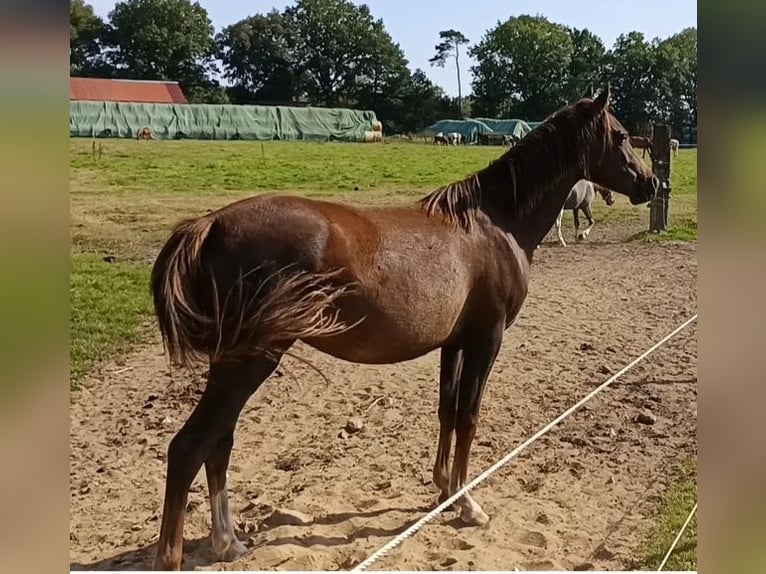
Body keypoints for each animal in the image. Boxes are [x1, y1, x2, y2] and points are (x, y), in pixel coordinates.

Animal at [150, 85, 660, 572]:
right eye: (620, 135)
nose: (651, 183)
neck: (496, 223)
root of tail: (211, 224)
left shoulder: (454, 344)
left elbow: (447, 412)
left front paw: (443, 489)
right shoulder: (486, 341)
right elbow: (469, 418)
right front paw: (468, 504)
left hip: (235, 365)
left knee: (219, 444)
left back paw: (228, 542)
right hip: (249, 362)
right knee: (189, 447)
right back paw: (177, 554)